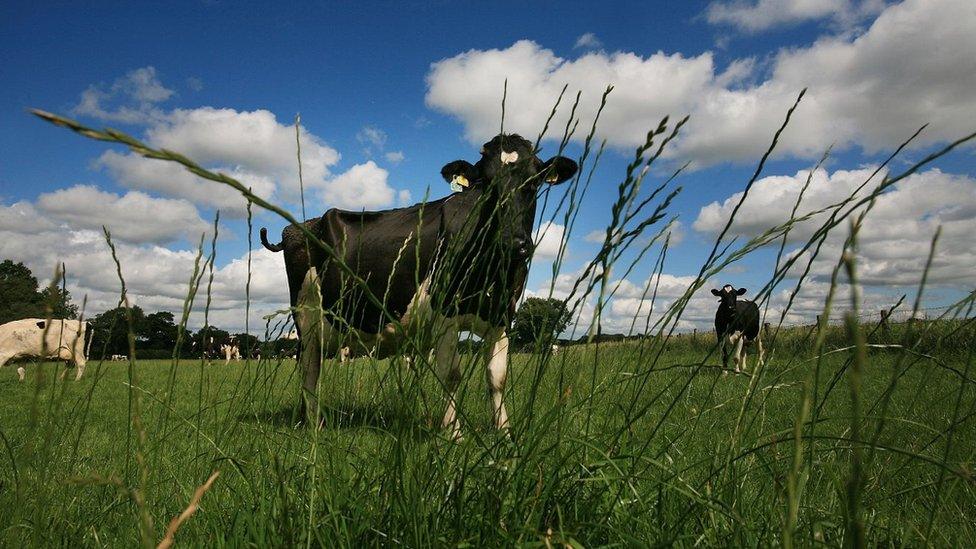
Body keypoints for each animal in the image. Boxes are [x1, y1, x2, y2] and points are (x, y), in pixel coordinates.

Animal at [264, 133, 576, 432]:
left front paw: (504, 434)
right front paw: (453, 433)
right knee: (309, 371)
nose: (514, 244)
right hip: (307, 319)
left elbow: (497, 378)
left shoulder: (502, 317)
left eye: (534, 181)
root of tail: (299, 226)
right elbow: (451, 375)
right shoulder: (444, 317)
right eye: (485, 183)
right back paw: (314, 424)